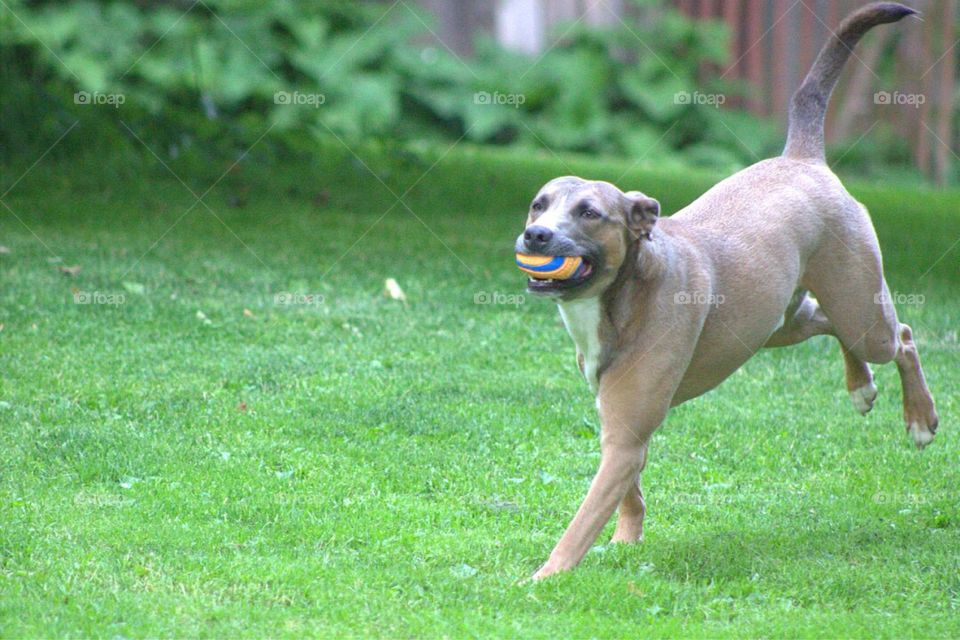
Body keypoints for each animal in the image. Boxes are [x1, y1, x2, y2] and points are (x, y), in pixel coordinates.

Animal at [512, 1, 940, 580]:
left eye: (589, 213)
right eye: (539, 204)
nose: (536, 235)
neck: (619, 300)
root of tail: (802, 158)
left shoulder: (625, 437)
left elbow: (581, 522)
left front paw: (544, 578)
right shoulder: (620, 430)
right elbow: (627, 494)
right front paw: (626, 541)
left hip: (859, 305)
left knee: (903, 337)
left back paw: (919, 419)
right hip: (777, 322)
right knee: (830, 323)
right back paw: (860, 387)